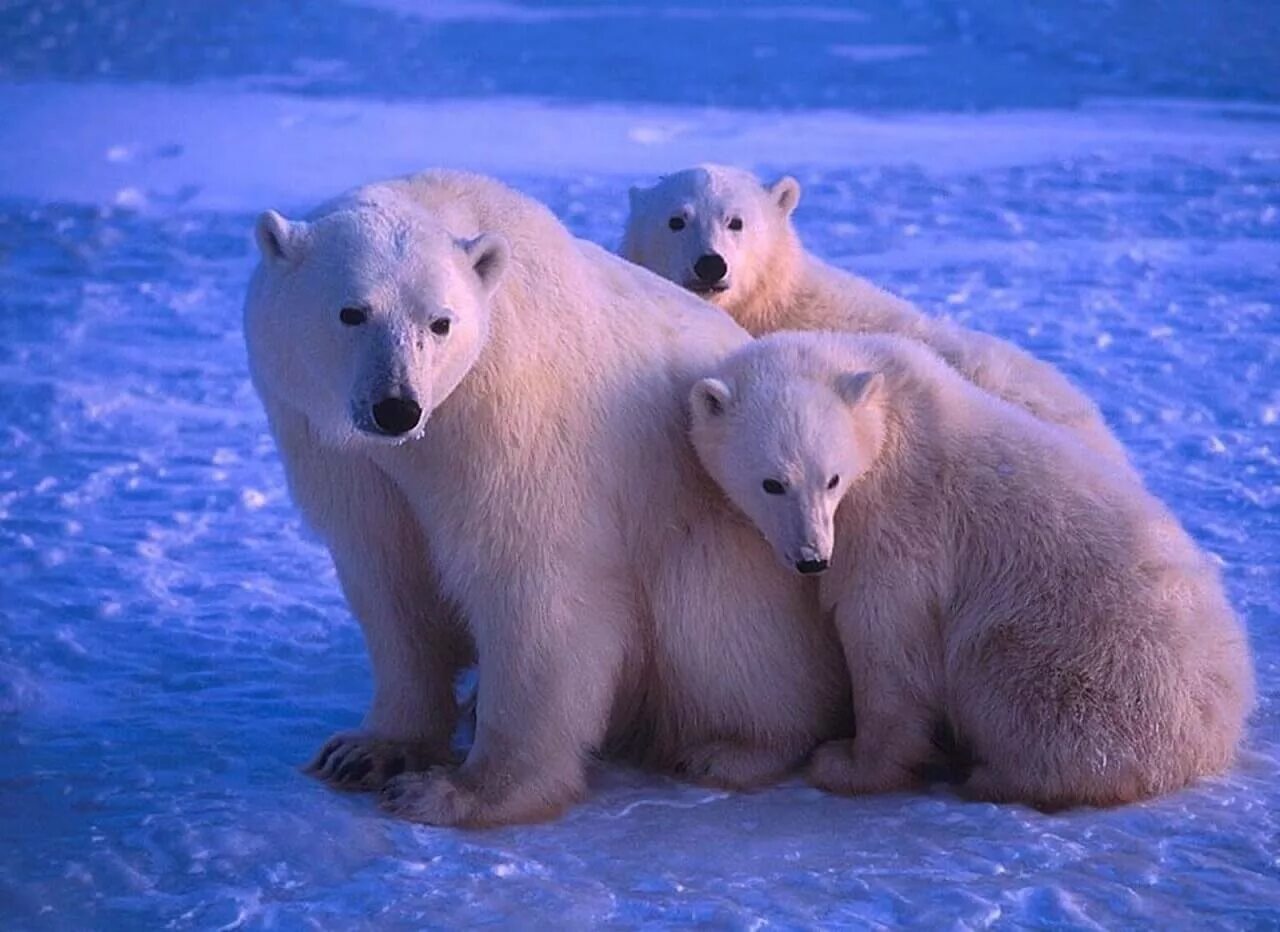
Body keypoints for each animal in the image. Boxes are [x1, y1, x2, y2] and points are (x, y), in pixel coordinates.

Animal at [244, 171, 855, 824]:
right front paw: (367, 752)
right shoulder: (340, 454)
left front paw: (460, 791)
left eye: (440, 322)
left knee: (717, 620)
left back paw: (729, 751)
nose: (396, 407)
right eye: (352, 312)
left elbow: (532, 584)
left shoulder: (514, 421)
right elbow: (392, 581)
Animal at [686, 332, 1254, 809]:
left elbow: (888, 639)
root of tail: (1218, 728)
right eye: (772, 483)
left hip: (1087, 661)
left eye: (831, 479)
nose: (812, 557)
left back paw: (994, 776)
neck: (889, 409)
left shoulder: (900, 523)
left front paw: (847, 763)